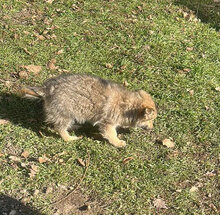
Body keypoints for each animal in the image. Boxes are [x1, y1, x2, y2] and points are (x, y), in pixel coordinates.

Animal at [21, 73, 157, 147]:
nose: (152, 128)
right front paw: (118, 142)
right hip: (66, 113)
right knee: (60, 128)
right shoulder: (107, 123)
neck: (129, 107)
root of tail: (47, 88)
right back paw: (70, 138)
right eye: (150, 120)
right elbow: (112, 134)